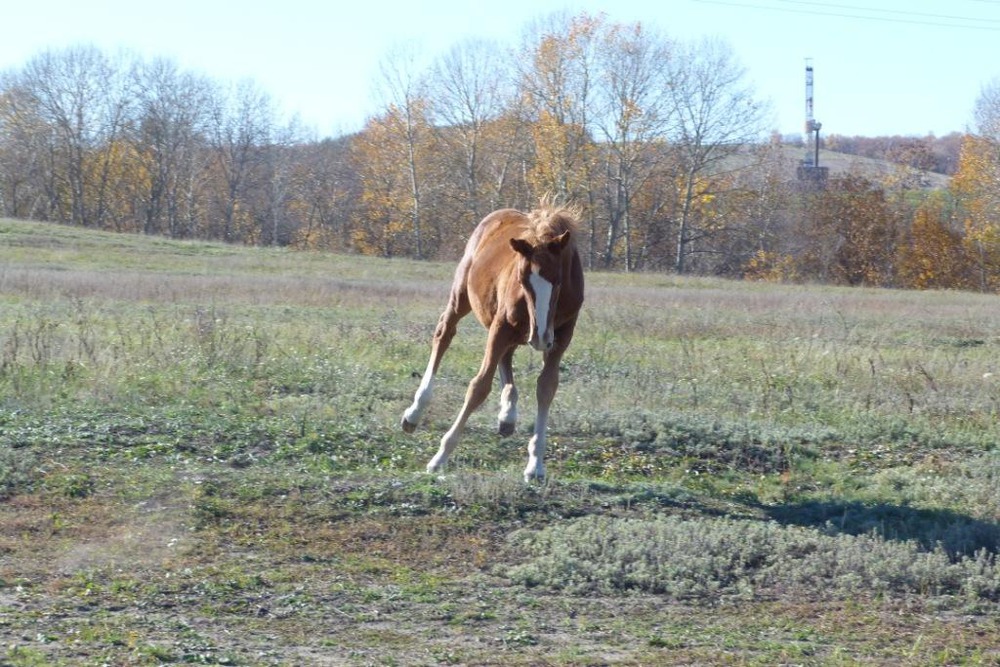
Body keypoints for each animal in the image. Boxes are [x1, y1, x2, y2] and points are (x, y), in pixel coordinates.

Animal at [400, 206, 584, 482]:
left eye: (559, 280)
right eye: (523, 279)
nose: (540, 337)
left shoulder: (561, 337)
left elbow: (546, 388)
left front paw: (535, 465)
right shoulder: (501, 326)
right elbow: (479, 387)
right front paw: (440, 456)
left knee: (505, 357)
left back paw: (507, 414)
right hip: (463, 297)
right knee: (444, 333)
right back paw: (415, 412)